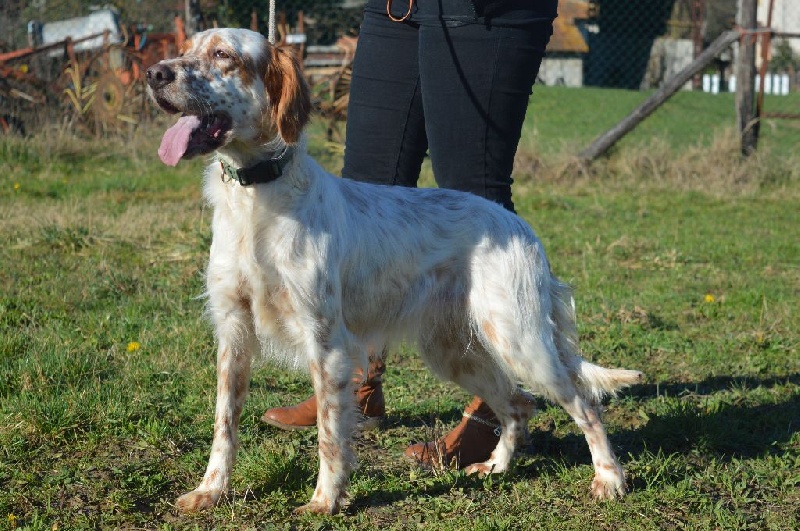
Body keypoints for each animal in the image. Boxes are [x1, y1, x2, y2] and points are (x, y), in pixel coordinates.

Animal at [145, 28, 644, 516]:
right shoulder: (233, 333)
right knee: (518, 405)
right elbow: (224, 425)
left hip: (521, 341)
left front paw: (325, 500)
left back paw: (610, 479)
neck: (257, 198)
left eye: (223, 55)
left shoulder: (325, 342)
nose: (154, 74)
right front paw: (211, 491)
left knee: (584, 405)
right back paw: (496, 466)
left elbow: (330, 435)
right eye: (187, 48)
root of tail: (520, 226)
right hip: (453, 351)